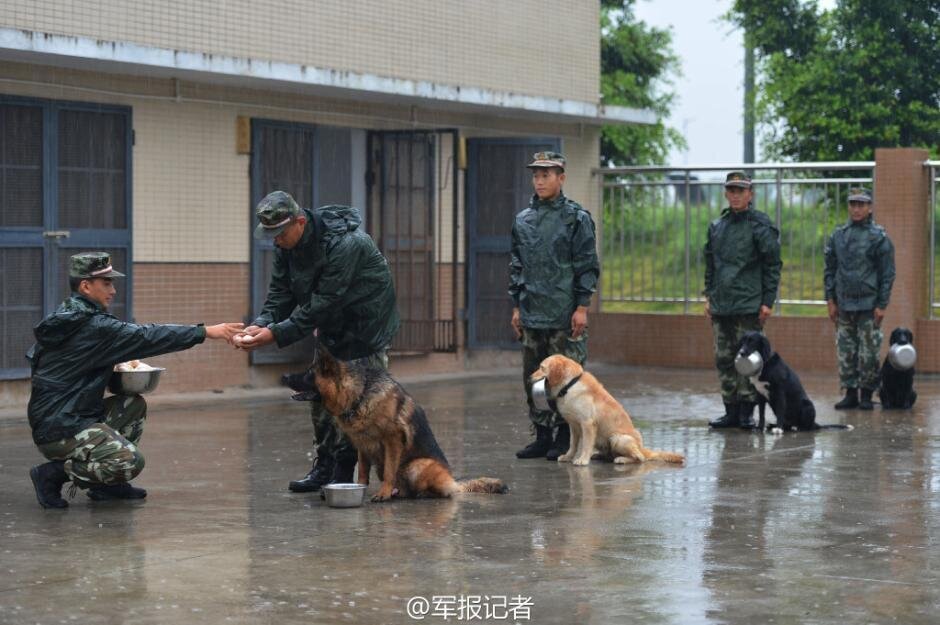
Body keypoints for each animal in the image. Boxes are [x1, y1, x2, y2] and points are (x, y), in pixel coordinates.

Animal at [284, 344, 506, 500]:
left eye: (309, 373)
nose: (284, 376)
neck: (359, 395)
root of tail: (453, 481)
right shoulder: (362, 445)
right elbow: (362, 471)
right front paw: (362, 488)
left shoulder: (392, 441)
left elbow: (390, 470)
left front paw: (383, 493)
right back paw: (398, 492)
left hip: (418, 465)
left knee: (443, 491)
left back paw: (418, 493)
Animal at [528, 354, 684, 466]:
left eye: (542, 367)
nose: (529, 377)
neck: (570, 384)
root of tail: (642, 448)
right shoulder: (573, 425)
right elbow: (572, 444)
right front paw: (568, 456)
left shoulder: (587, 424)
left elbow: (586, 444)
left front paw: (582, 460)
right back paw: (600, 455)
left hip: (618, 438)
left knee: (640, 458)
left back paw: (622, 459)